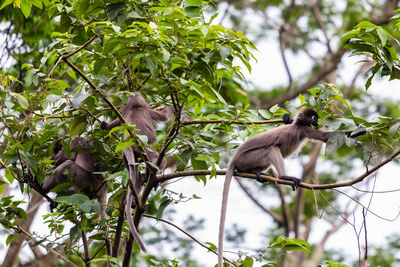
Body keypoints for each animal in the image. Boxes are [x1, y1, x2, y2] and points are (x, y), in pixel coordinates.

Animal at [106, 91, 173, 253]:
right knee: (159, 160)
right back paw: (151, 177)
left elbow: (115, 123)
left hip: (127, 157)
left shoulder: (123, 113)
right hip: (145, 151)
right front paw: (172, 109)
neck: (134, 106)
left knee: (135, 176)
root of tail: (129, 142)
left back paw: (134, 200)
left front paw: (104, 125)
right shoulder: (147, 110)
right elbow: (165, 117)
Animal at [219, 108, 366, 266]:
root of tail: (235, 158)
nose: (316, 121)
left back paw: (255, 172)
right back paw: (283, 177)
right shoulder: (304, 129)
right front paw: (360, 131)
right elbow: (327, 137)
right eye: (313, 117)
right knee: (272, 148)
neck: (298, 124)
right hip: (249, 157)